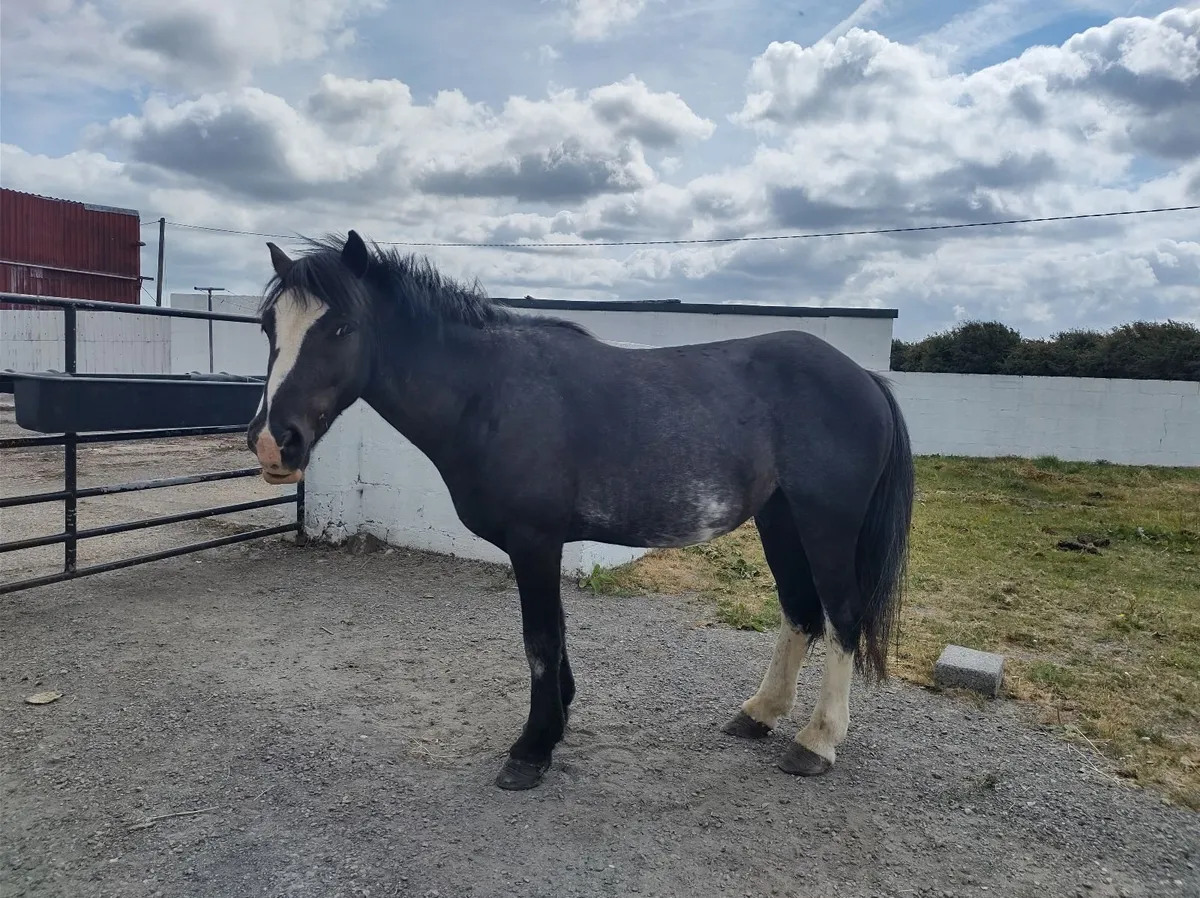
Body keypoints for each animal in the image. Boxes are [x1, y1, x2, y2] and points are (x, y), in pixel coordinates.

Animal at [247, 230, 915, 791]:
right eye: (267, 325)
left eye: (342, 328)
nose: (274, 443)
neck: (489, 394)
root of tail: (865, 379)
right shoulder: (542, 545)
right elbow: (555, 637)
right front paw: (558, 721)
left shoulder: (535, 541)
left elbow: (540, 638)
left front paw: (532, 748)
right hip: (781, 520)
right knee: (800, 611)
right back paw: (759, 714)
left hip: (826, 524)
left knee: (842, 616)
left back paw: (817, 742)